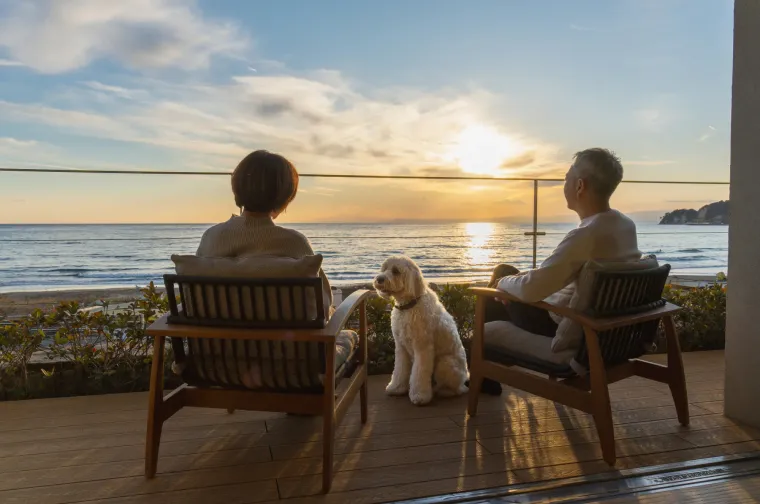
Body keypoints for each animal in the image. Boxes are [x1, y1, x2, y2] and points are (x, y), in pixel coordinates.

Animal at [374, 256, 470, 406]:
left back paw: (444, 391)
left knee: (458, 389)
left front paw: (420, 396)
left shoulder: (422, 348)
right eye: (384, 269)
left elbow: (419, 373)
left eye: (396, 271)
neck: (408, 306)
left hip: (445, 363)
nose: (379, 279)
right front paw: (396, 388)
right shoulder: (401, 347)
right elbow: (399, 370)